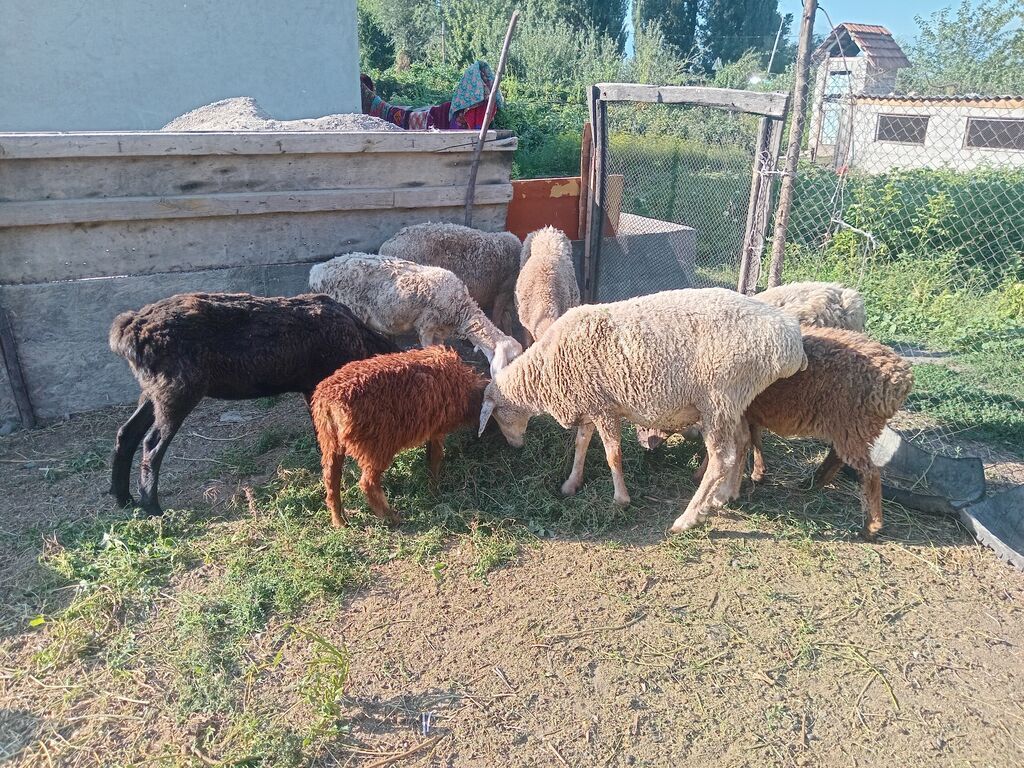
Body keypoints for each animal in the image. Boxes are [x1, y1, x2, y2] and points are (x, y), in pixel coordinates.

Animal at [109, 292, 399, 516]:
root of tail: (127, 330)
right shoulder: (315, 385)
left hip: (153, 390)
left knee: (126, 433)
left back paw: (124, 499)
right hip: (177, 391)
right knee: (151, 444)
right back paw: (153, 509)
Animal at [309, 252, 522, 377]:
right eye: (510, 361)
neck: (461, 309)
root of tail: (317, 271)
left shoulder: (441, 330)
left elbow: (441, 348)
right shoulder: (426, 325)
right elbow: (428, 348)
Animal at [311, 346, 487, 527]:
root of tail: (329, 402)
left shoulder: (431, 427)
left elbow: (430, 454)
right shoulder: (438, 427)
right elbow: (436, 458)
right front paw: (435, 490)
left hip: (330, 440)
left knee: (331, 478)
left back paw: (339, 520)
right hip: (376, 445)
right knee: (368, 483)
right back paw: (391, 518)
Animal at [477, 288, 807, 533]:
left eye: (497, 416)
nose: (515, 446)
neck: (545, 372)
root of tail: (792, 341)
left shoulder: (605, 408)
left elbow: (612, 454)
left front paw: (621, 499)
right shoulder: (591, 402)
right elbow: (581, 444)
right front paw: (571, 483)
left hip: (719, 397)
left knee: (721, 458)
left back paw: (688, 518)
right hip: (736, 400)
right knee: (741, 442)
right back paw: (724, 496)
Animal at [691, 326, 913, 540]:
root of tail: (901, 378)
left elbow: (736, 445)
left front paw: (708, 479)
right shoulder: (747, 412)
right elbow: (754, 439)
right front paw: (758, 473)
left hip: (854, 424)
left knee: (870, 473)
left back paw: (871, 527)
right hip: (848, 426)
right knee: (838, 457)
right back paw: (813, 483)